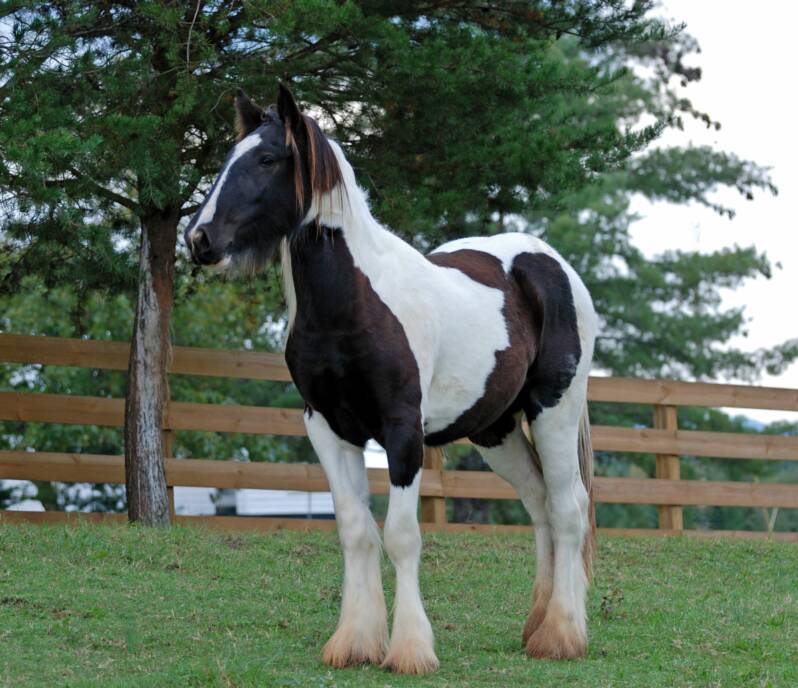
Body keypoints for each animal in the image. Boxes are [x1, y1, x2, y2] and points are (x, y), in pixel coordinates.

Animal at [184, 84, 599, 675]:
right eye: (227, 158)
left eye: (266, 159)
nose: (200, 239)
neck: (352, 304)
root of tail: (551, 263)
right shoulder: (328, 430)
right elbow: (356, 531)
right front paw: (354, 642)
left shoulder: (403, 432)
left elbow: (402, 536)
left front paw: (409, 651)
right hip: (494, 430)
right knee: (540, 504)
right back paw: (535, 627)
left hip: (553, 411)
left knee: (568, 510)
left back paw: (562, 636)